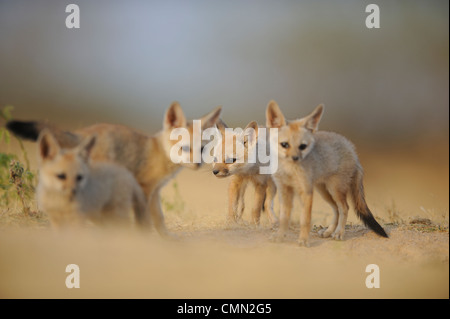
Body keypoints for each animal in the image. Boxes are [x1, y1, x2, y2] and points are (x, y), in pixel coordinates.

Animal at [7, 102, 222, 238]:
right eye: (185, 148)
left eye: (202, 149)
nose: (197, 164)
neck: (158, 151)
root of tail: (81, 134)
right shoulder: (144, 189)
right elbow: (144, 220)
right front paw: (145, 239)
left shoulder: (155, 192)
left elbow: (159, 219)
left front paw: (166, 239)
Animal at [266, 100, 388, 248]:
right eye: (284, 144)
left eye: (303, 146)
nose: (295, 158)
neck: (288, 170)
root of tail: (352, 150)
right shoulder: (284, 190)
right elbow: (284, 217)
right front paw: (280, 236)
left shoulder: (306, 191)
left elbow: (305, 219)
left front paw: (304, 240)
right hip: (323, 191)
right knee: (336, 209)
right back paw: (329, 232)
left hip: (334, 190)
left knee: (344, 208)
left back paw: (339, 233)